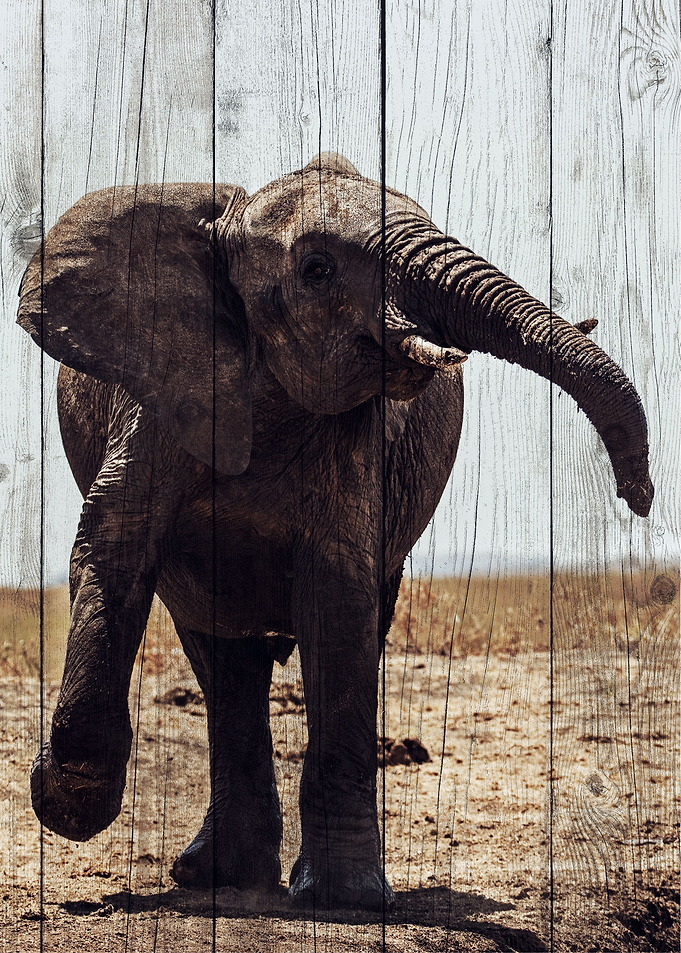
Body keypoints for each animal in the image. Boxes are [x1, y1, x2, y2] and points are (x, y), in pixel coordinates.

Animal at [17, 152, 653, 910]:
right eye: (317, 269)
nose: (638, 497)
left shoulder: (361, 437)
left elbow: (339, 589)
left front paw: (344, 899)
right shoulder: (158, 394)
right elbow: (115, 539)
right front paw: (67, 802)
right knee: (219, 653)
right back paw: (216, 876)